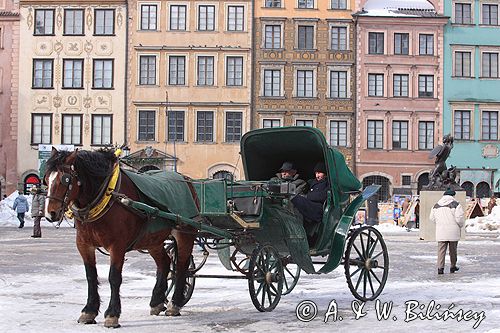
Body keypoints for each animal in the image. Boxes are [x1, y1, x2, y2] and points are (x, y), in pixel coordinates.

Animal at [44, 147, 197, 326]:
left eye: (65, 179)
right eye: (46, 178)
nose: (50, 213)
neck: (108, 196)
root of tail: (186, 180)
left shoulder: (117, 246)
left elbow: (114, 277)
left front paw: (112, 314)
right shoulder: (84, 245)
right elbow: (90, 276)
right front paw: (89, 311)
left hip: (184, 234)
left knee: (181, 267)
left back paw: (175, 304)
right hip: (153, 240)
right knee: (165, 263)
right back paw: (157, 301)